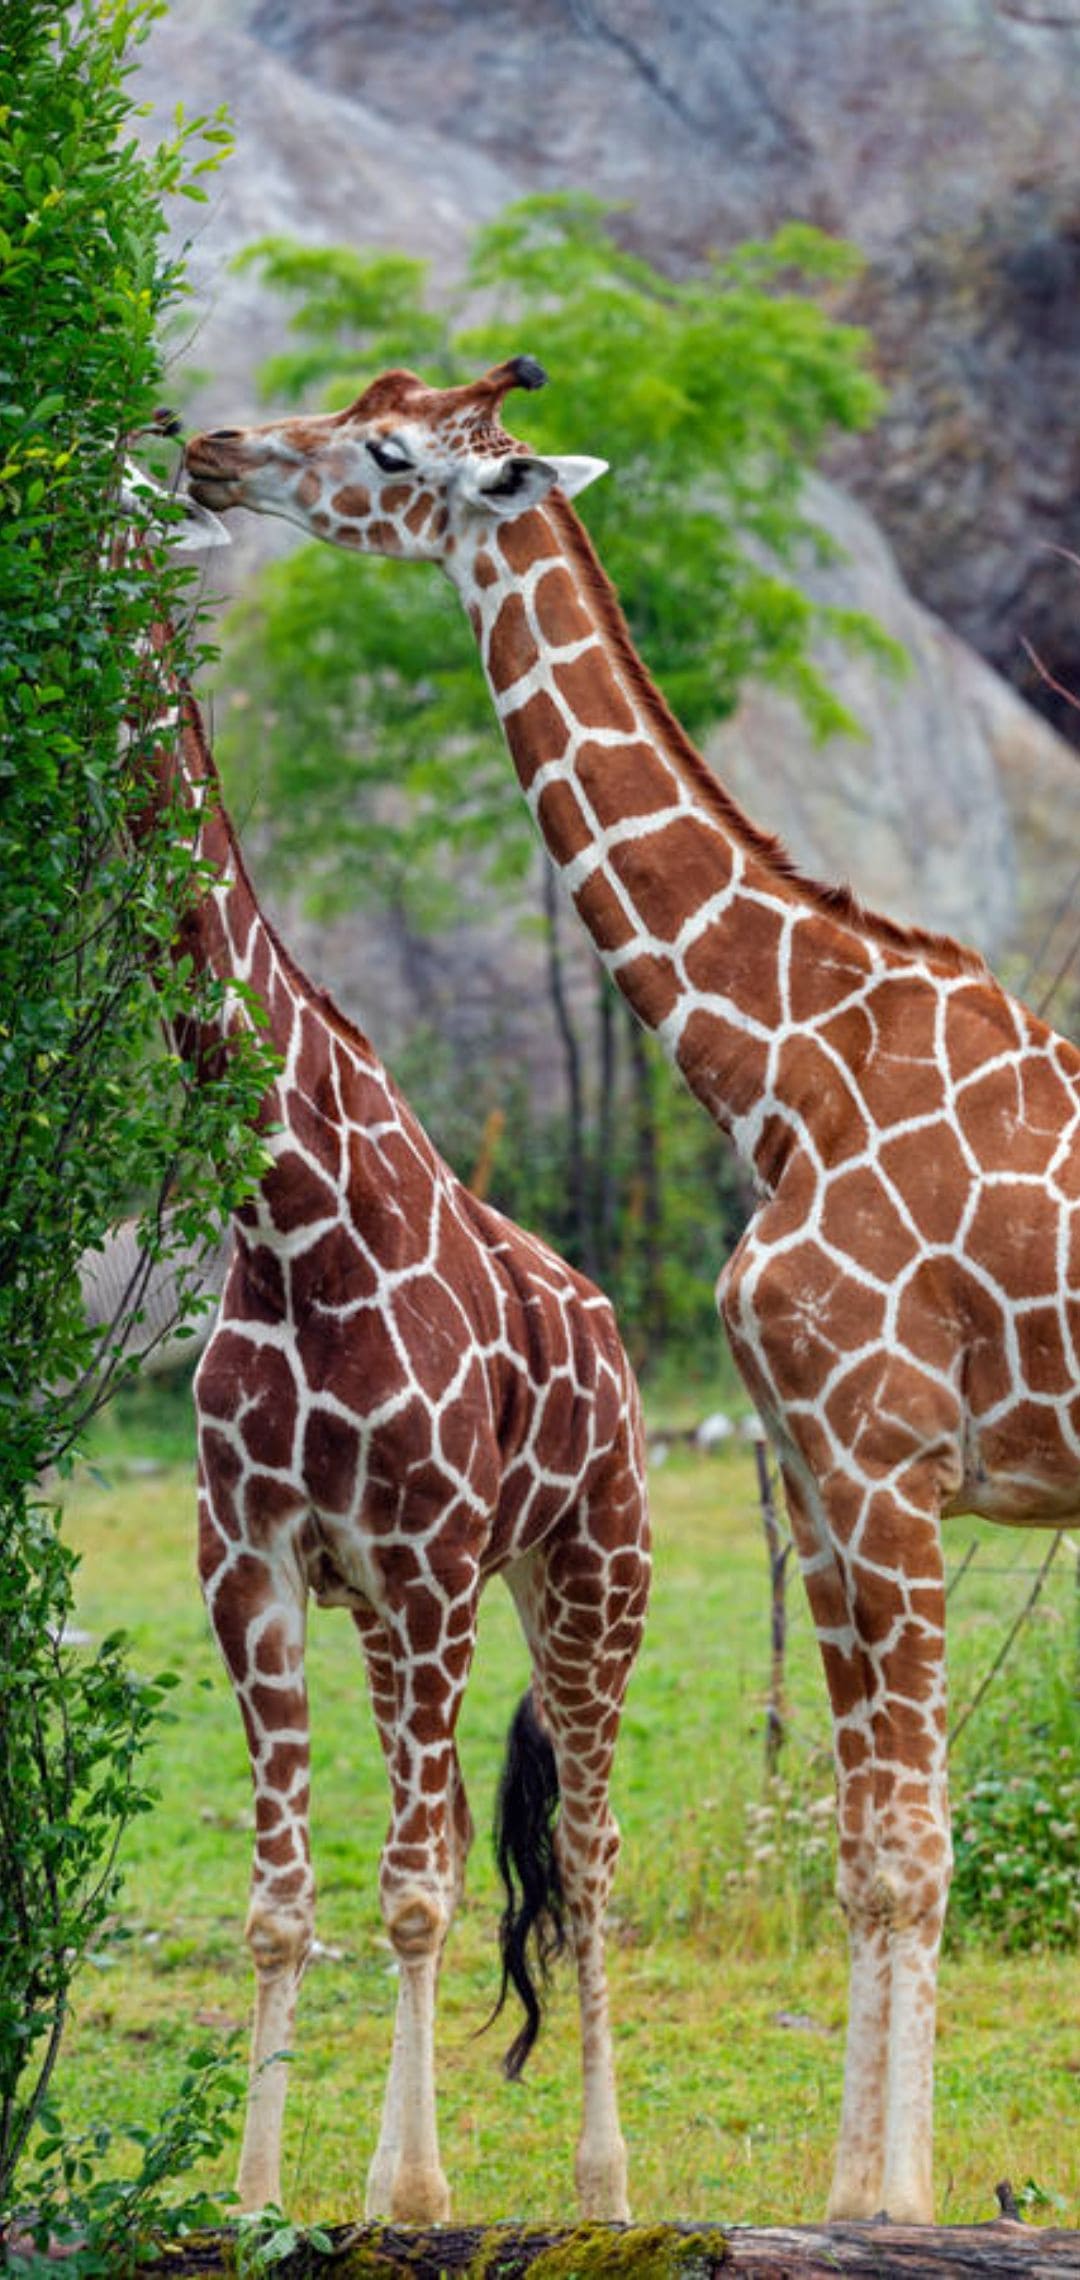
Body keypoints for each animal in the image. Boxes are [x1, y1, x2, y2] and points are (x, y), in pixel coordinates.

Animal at [119, 595, 650, 2225]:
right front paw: (259, 2197)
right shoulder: (253, 1566)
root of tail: (609, 1328)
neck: (290, 1217)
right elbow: (284, 1905)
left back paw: (606, 2184)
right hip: (416, 1621)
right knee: (481, 1837)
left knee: (587, 1853)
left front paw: (410, 2196)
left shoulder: (427, 1568)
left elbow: (412, 1893)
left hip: (589, 1576)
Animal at [188, 359, 1080, 2224]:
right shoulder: (820, 1484)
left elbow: (913, 1849)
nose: (217, 448)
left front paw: (897, 2206)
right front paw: (851, 2204)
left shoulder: (890, 1465)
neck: (788, 1072)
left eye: (390, 449)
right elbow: (868, 1841)